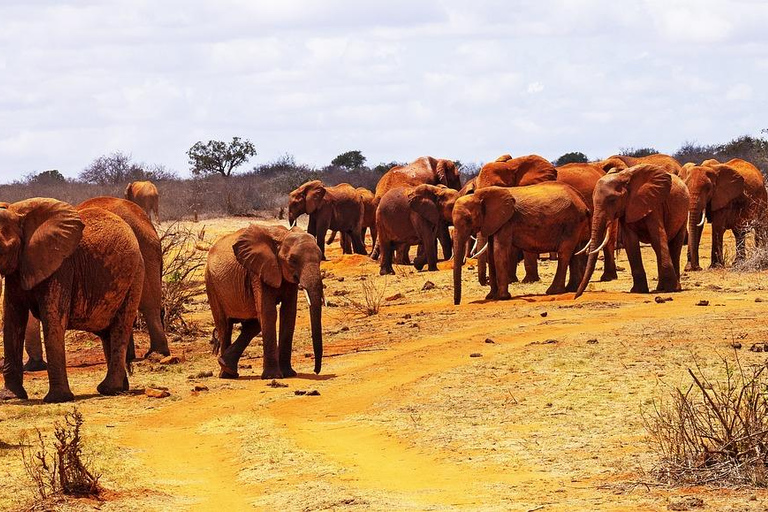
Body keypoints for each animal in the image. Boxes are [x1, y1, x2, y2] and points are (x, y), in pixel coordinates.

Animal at [0, 198, 144, 402]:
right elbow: (13, 319)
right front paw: (10, 397)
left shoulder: (61, 267)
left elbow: (53, 319)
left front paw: (57, 399)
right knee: (108, 332)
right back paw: (119, 388)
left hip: (135, 276)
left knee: (120, 327)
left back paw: (109, 389)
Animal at [206, 224, 322, 380]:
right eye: (292, 260)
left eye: (321, 258)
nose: (316, 371)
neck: (283, 236)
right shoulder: (258, 272)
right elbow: (269, 313)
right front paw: (273, 376)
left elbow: (288, 313)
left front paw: (288, 374)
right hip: (211, 284)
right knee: (225, 326)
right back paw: (226, 375)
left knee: (253, 325)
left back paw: (227, 366)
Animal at [452, 184, 592, 304]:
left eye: (468, 219)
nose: (457, 303)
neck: (479, 195)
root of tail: (582, 200)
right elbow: (491, 254)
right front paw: (490, 297)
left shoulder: (507, 222)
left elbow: (499, 250)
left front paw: (502, 297)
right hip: (575, 224)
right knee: (574, 253)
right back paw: (571, 289)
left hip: (571, 223)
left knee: (564, 253)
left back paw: (553, 291)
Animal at [572, 164, 688, 298]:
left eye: (612, 200)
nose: (576, 296)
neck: (622, 177)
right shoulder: (626, 208)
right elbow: (630, 242)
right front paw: (638, 290)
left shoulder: (654, 204)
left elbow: (657, 237)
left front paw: (671, 289)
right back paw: (661, 288)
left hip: (684, 213)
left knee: (675, 245)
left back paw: (673, 288)